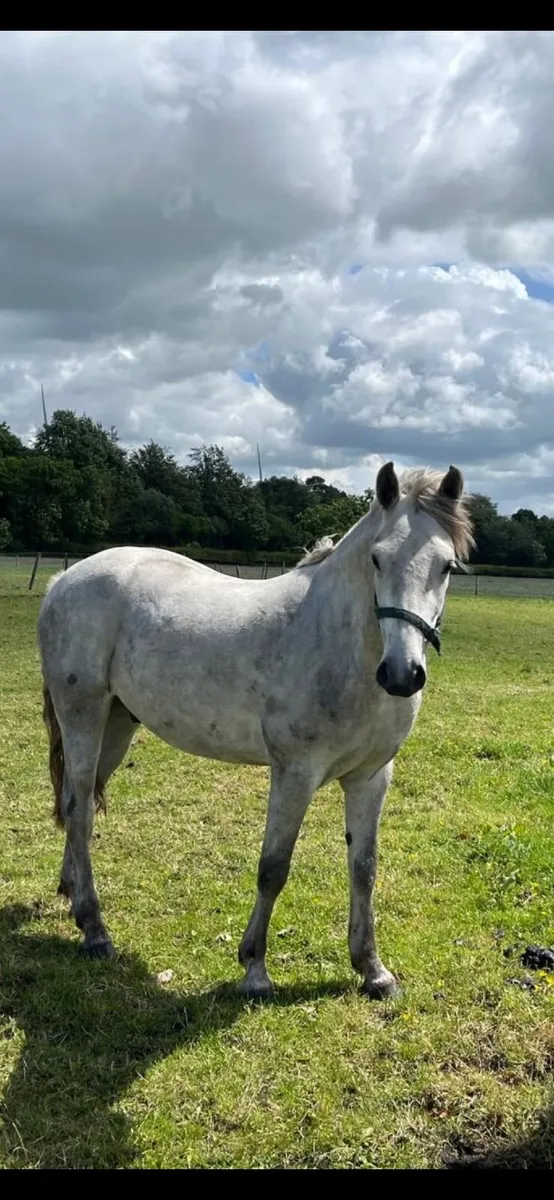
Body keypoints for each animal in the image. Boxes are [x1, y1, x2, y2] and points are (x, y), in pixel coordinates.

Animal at [39, 461, 473, 1000]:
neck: (340, 649)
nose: (401, 674)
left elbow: (364, 868)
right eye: (377, 558)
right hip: (83, 714)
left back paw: (71, 893)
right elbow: (273, 868)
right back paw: (95, 930)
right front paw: (255, 971)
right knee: (79, 808)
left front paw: (372, 969)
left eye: (447, 566)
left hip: (117, 723)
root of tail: (64, 578)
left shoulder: (371, 777)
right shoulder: (294, 774)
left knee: (78, 802)